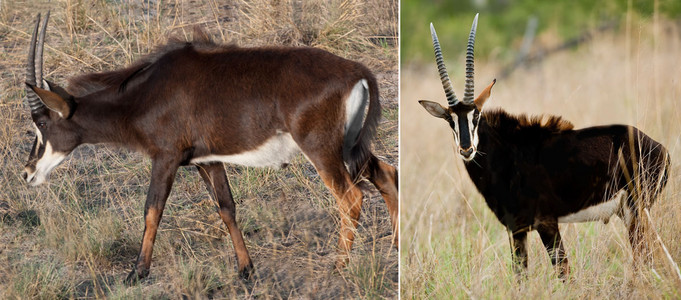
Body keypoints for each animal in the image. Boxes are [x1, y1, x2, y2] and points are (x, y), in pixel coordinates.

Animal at [22, 12, 398, 284]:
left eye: (41, 124)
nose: (27, 173)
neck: (143, 95)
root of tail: (358, 72)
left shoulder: (166, 157)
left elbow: (152, 209)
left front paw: (136, 273)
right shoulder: (207, 160)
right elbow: (226, 207)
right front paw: (246, 270)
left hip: (321, 150)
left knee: (351, 197)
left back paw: (339, 267)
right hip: (349, 147)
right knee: (387, 174)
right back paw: (397, 246)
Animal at [420, 14, 668, 278]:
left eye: (476, 116)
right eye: (450, 121)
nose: (467, 150)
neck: (507, 156)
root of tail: (660, 148)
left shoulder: (546, 222)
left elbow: (563, 270)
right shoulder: (516, 229)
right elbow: (520, 275)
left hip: (635, 212)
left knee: (646, 257)